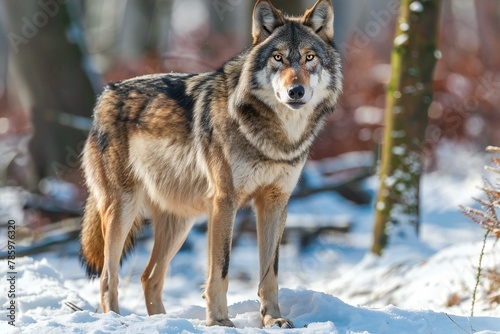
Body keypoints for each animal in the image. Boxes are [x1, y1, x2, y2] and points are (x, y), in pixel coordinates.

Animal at [80, 0, 342, 328]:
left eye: (310, 57)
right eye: (278, 58)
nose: (296, 91)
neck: (277, 138)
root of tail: (105, 93)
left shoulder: (275, 203)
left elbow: (270, 272)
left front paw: (273, 319)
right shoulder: (224, 202)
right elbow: (221, 269)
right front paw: (218, 321)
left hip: (181, 222)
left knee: (149, 277)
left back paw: (164, 322)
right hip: (123, 210)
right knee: (108, 277)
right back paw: (116, 320)